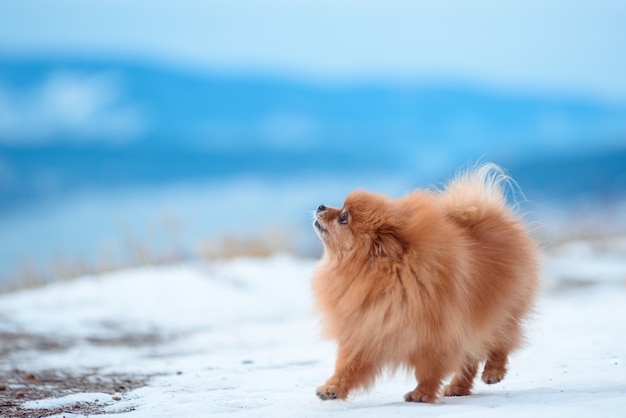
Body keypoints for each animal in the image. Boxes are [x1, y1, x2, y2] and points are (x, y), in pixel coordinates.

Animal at [310, 164, 536, 404]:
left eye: (344, 217)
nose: (321, 205)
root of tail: (494, 215)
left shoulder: (434, 337)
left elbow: (429, 370)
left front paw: (421, 393)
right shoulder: (368, 327)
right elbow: (347, 366)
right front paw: (332, 388)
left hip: (501, 310)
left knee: (502, 339)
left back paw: (493, 371)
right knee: (471, 360)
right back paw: (458, 387)